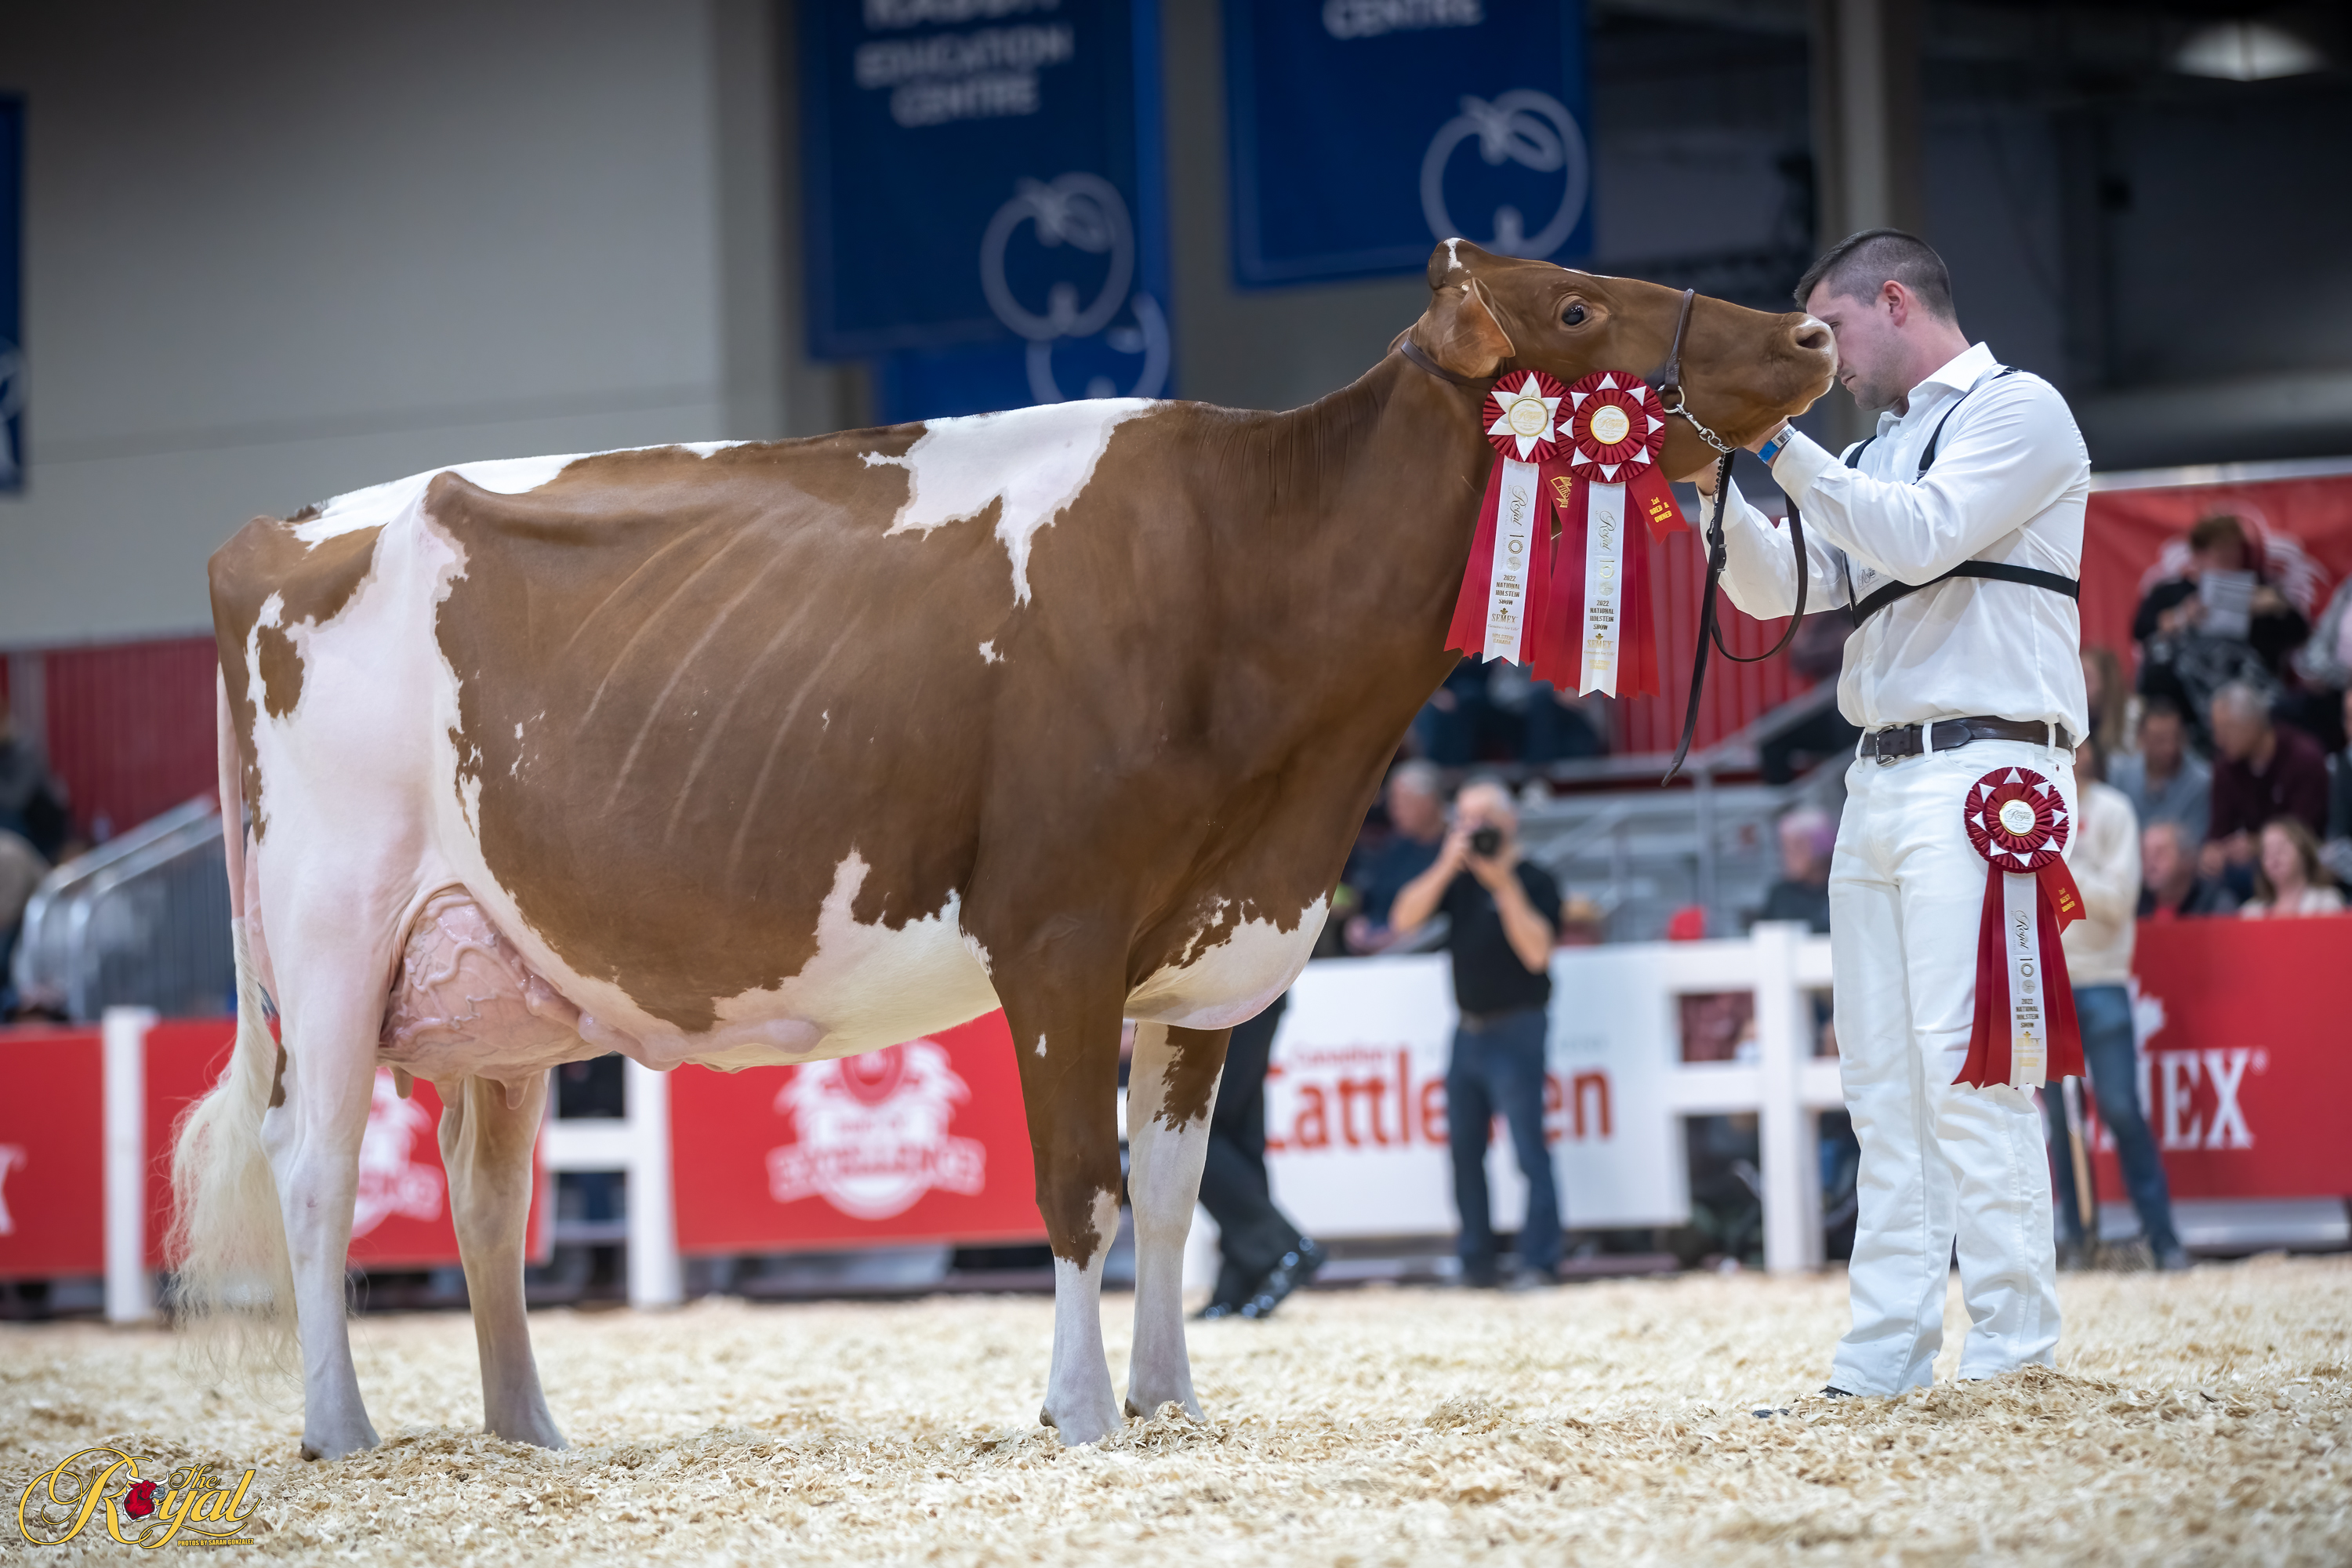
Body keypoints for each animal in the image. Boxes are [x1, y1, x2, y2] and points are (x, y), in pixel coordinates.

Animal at [172, 241, 1832, 1459]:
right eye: (1578, 306)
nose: (1815, 335)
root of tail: (276, 530)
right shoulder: (1061, 933)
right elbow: (1079, 1184)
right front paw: (1084, 1413)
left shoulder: (1206, 956)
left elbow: (1169, 1194)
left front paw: (1172, 1400)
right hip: (332, 928)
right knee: (318, 1169)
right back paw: (341, 1431)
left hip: (496, 976)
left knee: (483, 1195)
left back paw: (528, 1433)